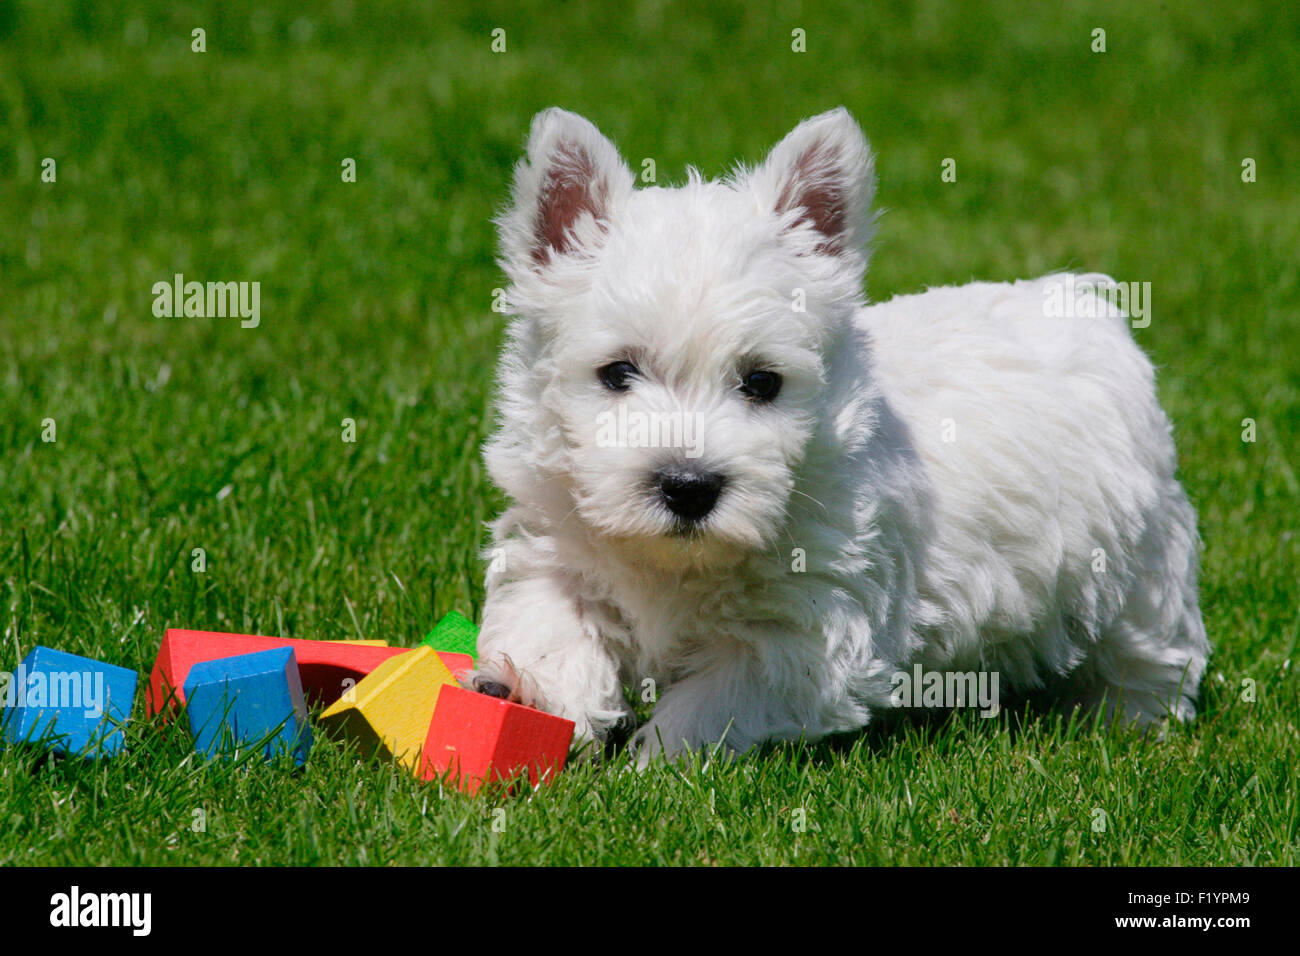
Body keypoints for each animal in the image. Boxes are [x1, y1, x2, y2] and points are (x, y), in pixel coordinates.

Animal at [473, 106, 1211, 764]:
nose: (689, 486)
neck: (680, 564)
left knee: (1150, 652)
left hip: (1142, 574)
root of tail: (1086, 307)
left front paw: (653, 767)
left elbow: (712, 701)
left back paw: (1127, 722)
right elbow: (551, 623)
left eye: (762, 382)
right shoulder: (557, 548)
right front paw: (540, 696)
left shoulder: (804, 633)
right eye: (617, 373)